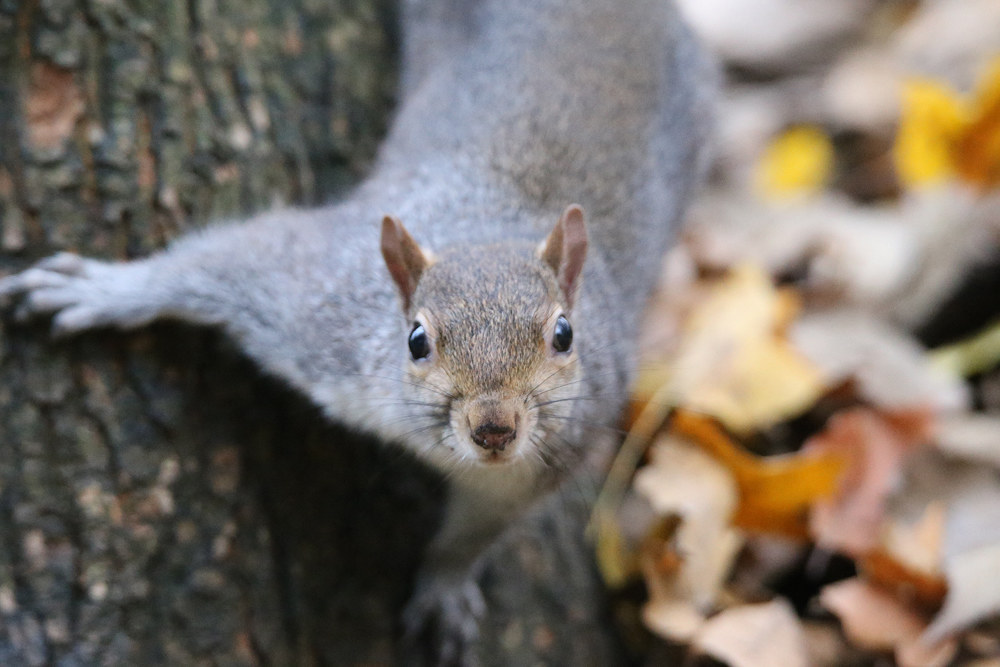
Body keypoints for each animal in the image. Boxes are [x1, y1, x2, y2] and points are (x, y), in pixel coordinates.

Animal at [0, 0, 713, 663]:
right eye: (416, 340)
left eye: (565, 334)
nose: (494, 429)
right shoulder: (321, 309)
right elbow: (226, 261)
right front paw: (107, 290)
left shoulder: (547, 457)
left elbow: (478, 531)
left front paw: (445, 584)